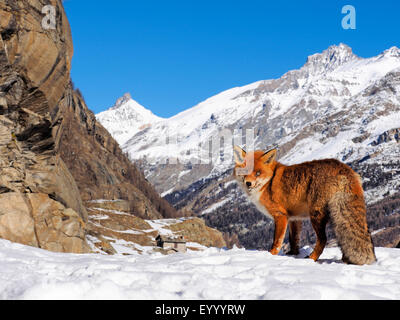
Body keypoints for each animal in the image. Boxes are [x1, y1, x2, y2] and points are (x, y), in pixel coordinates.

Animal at [233, 146, 376, 264]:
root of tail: (343, 167)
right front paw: (293, 254)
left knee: (323, 239)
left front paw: (271, 255)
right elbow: (293, 240)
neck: (267, 184)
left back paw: (312, 258)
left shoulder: (280, 216)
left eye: (257, 173)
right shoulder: (294, 218)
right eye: (244, 172)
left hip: (316, 216)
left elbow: (277, 241)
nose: (248, 183)